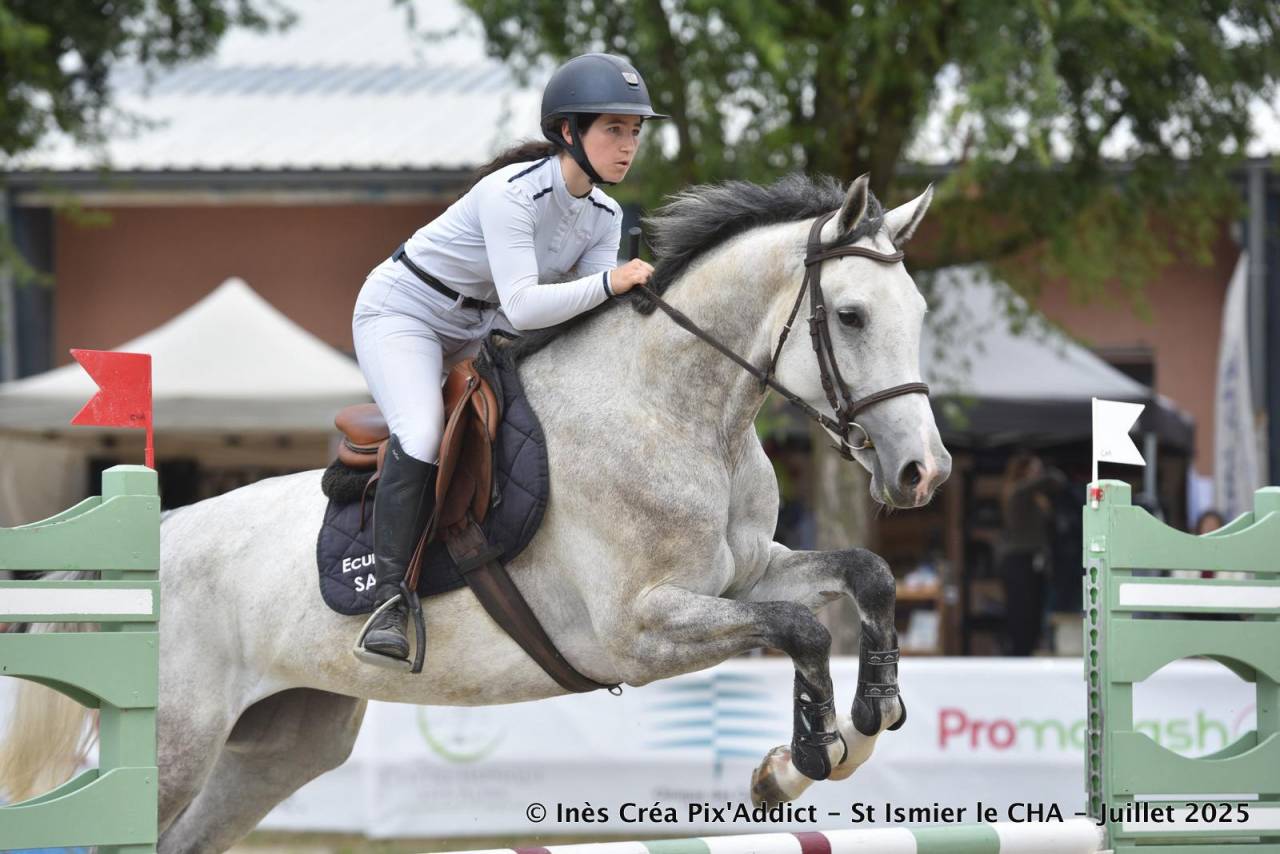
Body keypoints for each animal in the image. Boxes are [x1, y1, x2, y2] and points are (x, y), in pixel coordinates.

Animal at [1, 172, 951, 853]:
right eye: (852, 315)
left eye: (920, 314)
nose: (923, 472)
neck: (682, 414)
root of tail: (154, 537)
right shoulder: (639, 630)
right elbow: (802, 628)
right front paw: (801, 760)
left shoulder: (745, 575)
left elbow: (863, 577)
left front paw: (856, 726)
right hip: (174, 746)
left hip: (281, 746)